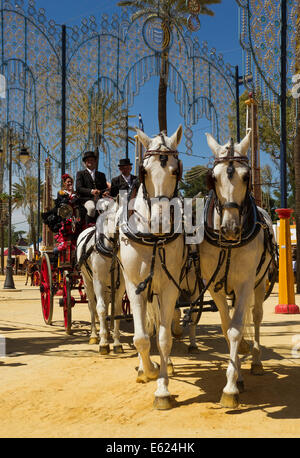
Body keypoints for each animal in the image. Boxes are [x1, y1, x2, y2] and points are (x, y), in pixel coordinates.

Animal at [77, 198, 125, 354]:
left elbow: (116, 309)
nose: (115, 237)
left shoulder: (121, 284)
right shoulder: (98, 281)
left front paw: (116, 342)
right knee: (92, 306)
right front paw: (103, 342)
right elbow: (101, 308)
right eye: (108, 219)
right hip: (87, 281)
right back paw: (93, 335)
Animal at [199, 131, 276, 408]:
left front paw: (230, 388)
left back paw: (255, 361)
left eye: (246, 177)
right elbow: (226, 328)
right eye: (213, 178)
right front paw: (236, 378)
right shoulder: (215, 286)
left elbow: (235, 329)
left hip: (259, 283)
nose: (230, 228)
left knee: (255, 318)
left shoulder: (244, 284)